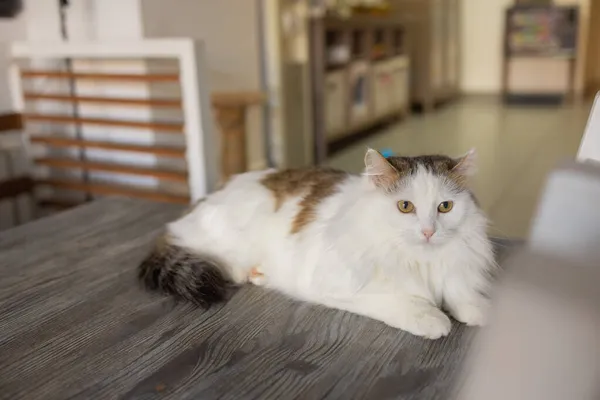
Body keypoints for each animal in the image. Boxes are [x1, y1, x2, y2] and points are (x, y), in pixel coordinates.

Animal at [138, 148, 494, 340]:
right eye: (405, 207)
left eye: (445, 207)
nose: (429, 232)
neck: (421, 261)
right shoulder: (336, 286)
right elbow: (401, 300)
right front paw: (432, 318)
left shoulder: (455, 270)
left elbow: (461, 293)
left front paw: (477, 310)